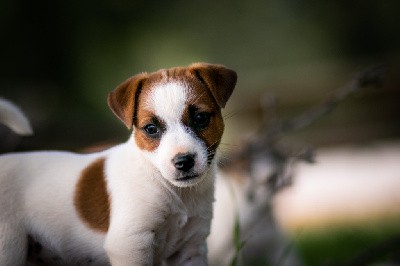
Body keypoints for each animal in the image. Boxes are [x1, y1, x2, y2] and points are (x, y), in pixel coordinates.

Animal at [0, 63, 238, 264]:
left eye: (200, 118)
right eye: (151, 128)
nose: (183, 161)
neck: (172, 190)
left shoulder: (191, 248)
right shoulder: (130, 244)